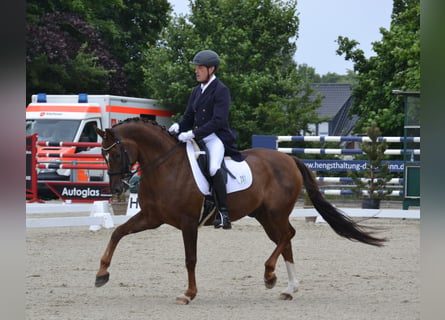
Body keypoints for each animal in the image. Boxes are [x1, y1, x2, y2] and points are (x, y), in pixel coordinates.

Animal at [93, 119, 386, 304]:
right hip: (265, 216)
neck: (168, 168)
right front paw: (101, 274)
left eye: (116, 154)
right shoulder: (152, 218)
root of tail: (289, 158)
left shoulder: (188, 223)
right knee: (286, 240)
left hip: (276, 213)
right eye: (104, 156)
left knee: (288, 235)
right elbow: (117, 233)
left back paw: (270, 276)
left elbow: (190, 259)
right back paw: (288, 289)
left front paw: (188, 294)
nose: (117, 188)